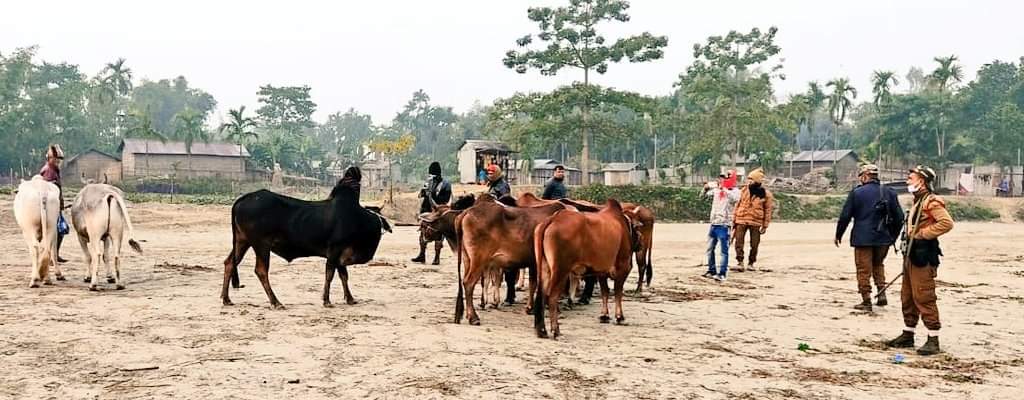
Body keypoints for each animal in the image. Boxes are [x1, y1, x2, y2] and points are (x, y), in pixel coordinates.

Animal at [456, 193, 569, 325]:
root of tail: (467, 212)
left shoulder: (534, 263)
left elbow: (533, 283)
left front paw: (530, 308)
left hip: (467, 259)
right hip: (479, 260)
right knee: (468, 283)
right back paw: (474, 317)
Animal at [532, 199, 634, 337]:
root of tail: (553, 219)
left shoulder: (601, 271)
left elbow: (605, 292)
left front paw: (604, 315)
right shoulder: (623, 266)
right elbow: (618, 292)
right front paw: (619, 317)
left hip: (545, 268)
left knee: (541, 296)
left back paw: (541, 330)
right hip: (561, 270)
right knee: (551, 297)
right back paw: (556, 329)